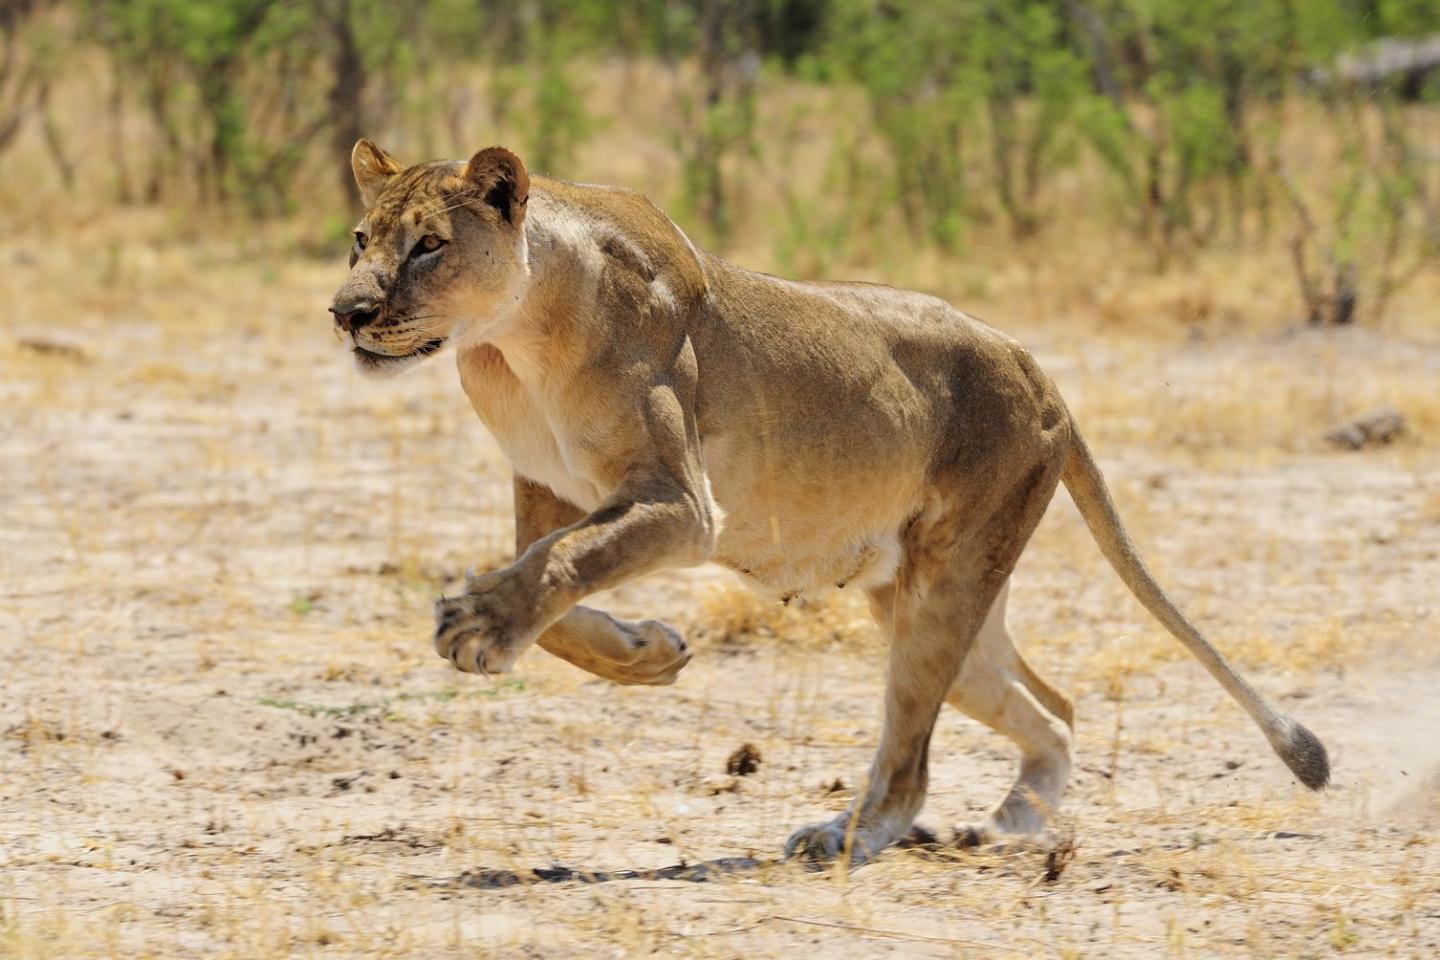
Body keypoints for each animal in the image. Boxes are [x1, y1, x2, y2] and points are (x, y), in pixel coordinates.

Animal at [328, 140, 1329, 863]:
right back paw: (1015, 820)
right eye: (360, 241)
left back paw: (848, 836)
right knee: (1053, 707)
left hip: (945, 583)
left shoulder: (684, 506)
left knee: (910, 759)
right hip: (930, 594)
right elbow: (558, 598)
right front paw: (648, 655)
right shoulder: (546, 489)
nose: (346, 313)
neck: (511, 342)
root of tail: (1041, 373)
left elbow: (562, 565)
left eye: (429, 244)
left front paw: (480, 626)